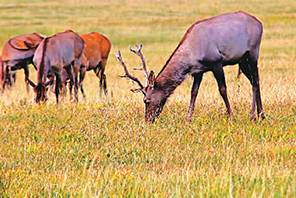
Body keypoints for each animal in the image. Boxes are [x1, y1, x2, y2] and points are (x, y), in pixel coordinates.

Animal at [115, 11, 266, 122]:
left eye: (146, 100)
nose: (148, 120)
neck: (191, 56)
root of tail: (260, 23)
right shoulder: (198, 71)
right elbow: (194, 92)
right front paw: (188, 118)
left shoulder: (216, 62)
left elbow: (222, 89)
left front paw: (230, 115)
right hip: (242, 60)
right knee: (255, 81)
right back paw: (261, 115)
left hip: (253, 53)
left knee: (255, 81)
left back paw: (253, 115)